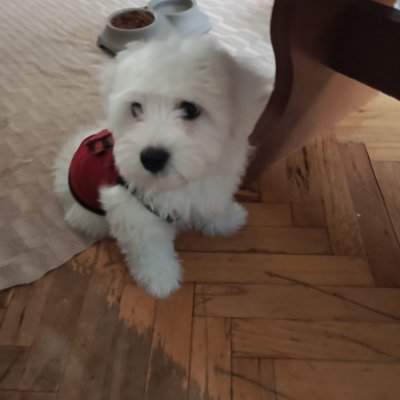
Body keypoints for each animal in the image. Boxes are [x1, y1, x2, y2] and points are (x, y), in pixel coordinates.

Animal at [53, 36, 267, 298]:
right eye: (135, 108)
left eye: (191, 109)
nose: (152, 158)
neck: (181, 181)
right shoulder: (133, 209)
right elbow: (150, 250)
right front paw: (160, 280)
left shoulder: (212, 183)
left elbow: (209, 205)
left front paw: (226, 218)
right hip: (88, 214)